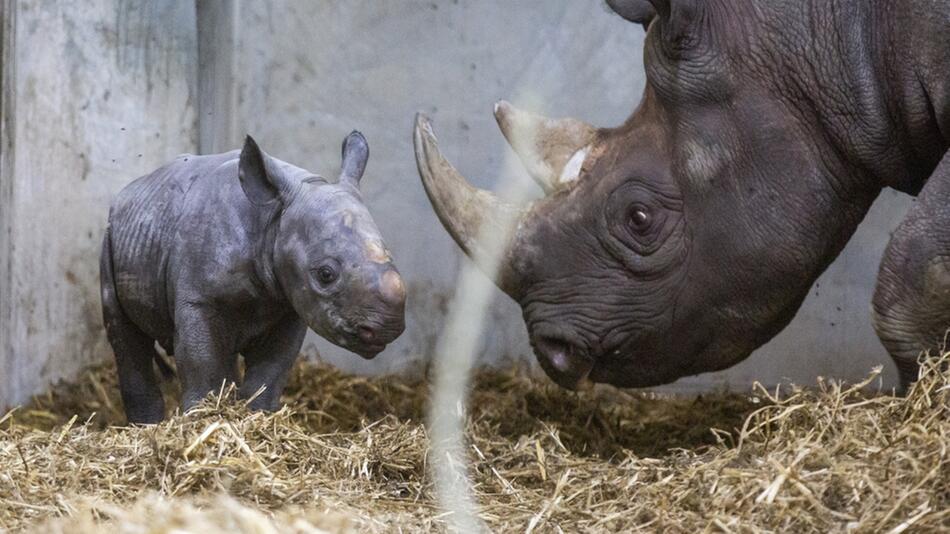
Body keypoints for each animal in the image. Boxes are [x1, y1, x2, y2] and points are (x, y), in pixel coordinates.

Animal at [102, 133, 408, 422]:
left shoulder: (289, 305)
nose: (386, 329)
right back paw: (146, 426)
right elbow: (202, 364)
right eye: (326, 275)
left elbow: (271, 370)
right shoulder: (198, 300)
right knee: (126, 336)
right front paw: (204, 416)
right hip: (111, 235)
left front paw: (253, 416)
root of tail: (126, 194)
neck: (274, 219)